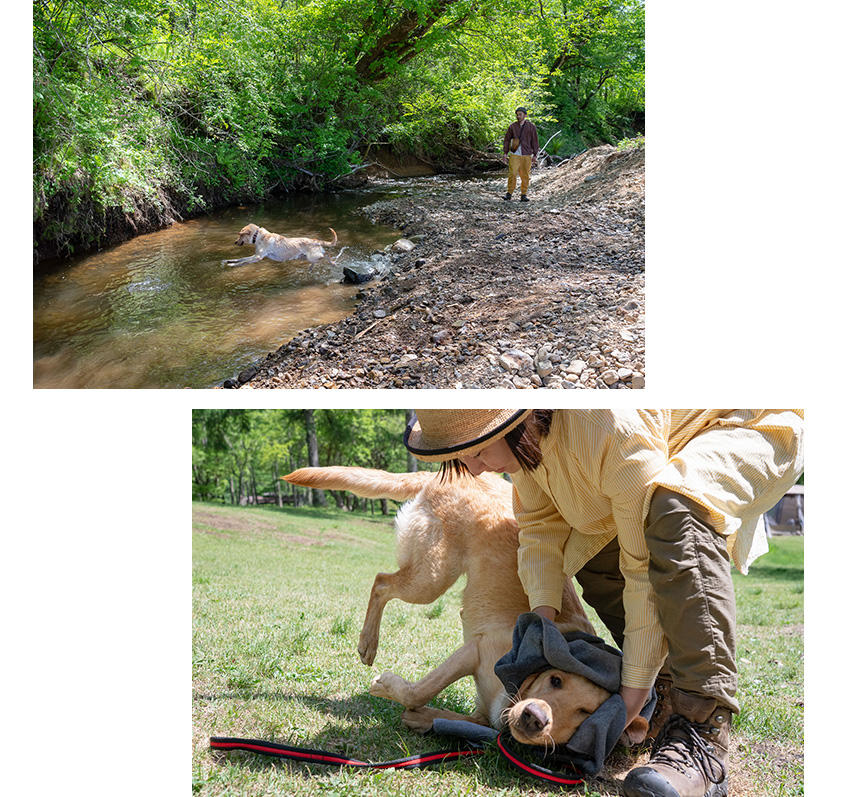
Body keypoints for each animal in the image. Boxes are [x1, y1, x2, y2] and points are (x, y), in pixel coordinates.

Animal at [282, 464, 644, 748]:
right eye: (556, 680)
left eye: (587, 713)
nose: (535, 718)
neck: (517, 687)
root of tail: (451, 474)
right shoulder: (476, 650)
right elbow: (419, 691)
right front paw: (388, 687)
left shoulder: (482, 713)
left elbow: (445, 715)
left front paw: (423, 718)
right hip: (432, 577)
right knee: (382, 582)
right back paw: (368, 643)